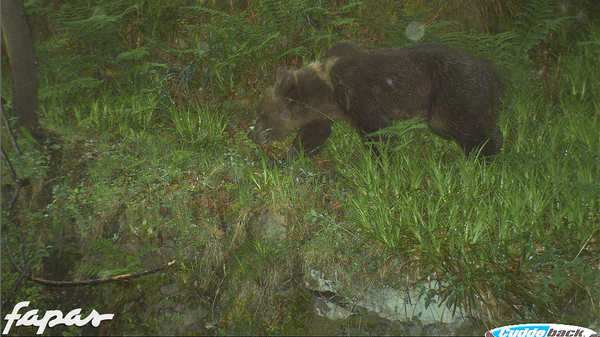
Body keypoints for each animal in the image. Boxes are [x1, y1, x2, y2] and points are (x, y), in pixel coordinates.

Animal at [247, 40, 502, 159]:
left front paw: (383, 162)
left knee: (456, 125)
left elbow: (377, 131)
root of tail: (492, 73)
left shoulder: (359, 93)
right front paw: (289, 158)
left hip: (453, 89)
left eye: (262, 113)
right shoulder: (326, 113)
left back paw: (482, 156)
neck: (327, 91)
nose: (252, 135)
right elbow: (312, 135)